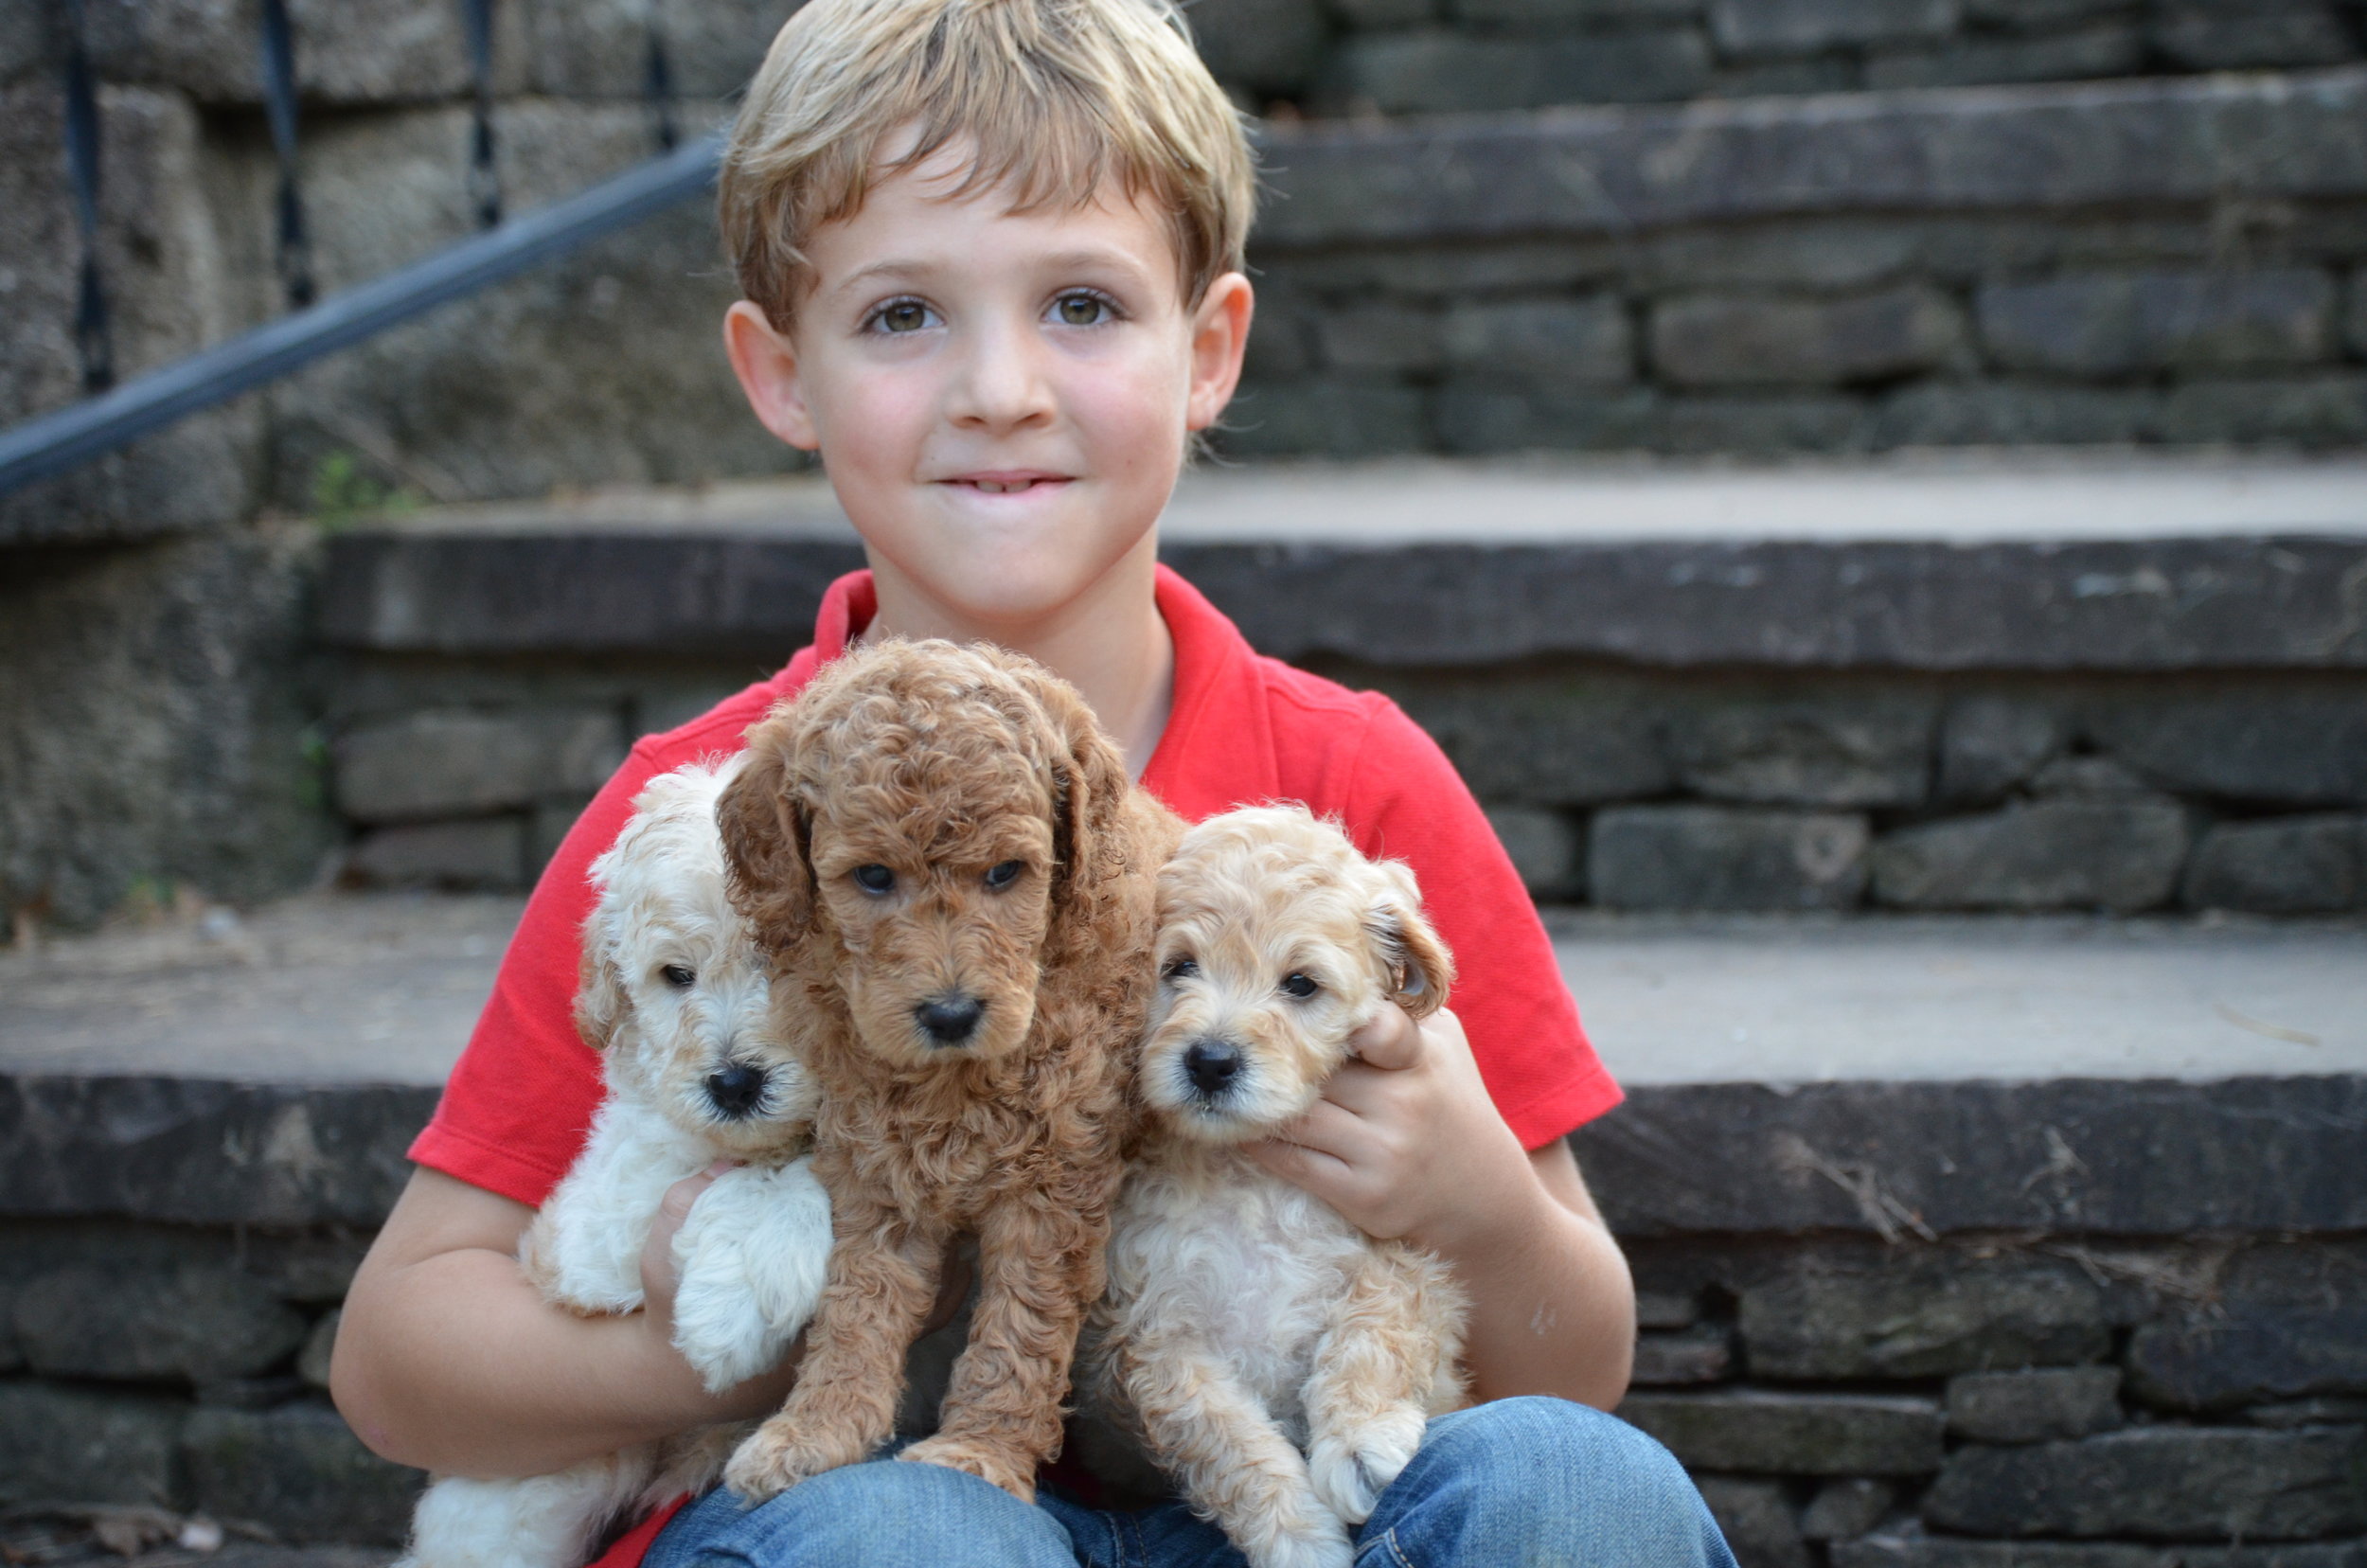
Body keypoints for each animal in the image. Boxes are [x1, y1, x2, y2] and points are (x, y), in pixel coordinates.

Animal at [710, 644, 1174, 1515]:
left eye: (1007, 873)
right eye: (872, 878)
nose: (952, 1013)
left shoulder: (1054, 1184)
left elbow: (1021, 1326)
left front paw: (979, 1450)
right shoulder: (878, 1164)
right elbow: (857, 1303)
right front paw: (818, 1430)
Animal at [1084, 810, 1458, 1568]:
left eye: (1302, 985)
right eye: (1179, 967)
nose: (1211, 1061)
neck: (1247, 1174)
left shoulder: (1403, 1250)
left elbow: (1377, 1328)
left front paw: (1363, 1441)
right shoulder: (1151, 1335)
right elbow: (1230, 1443)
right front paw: (1301, 1541)